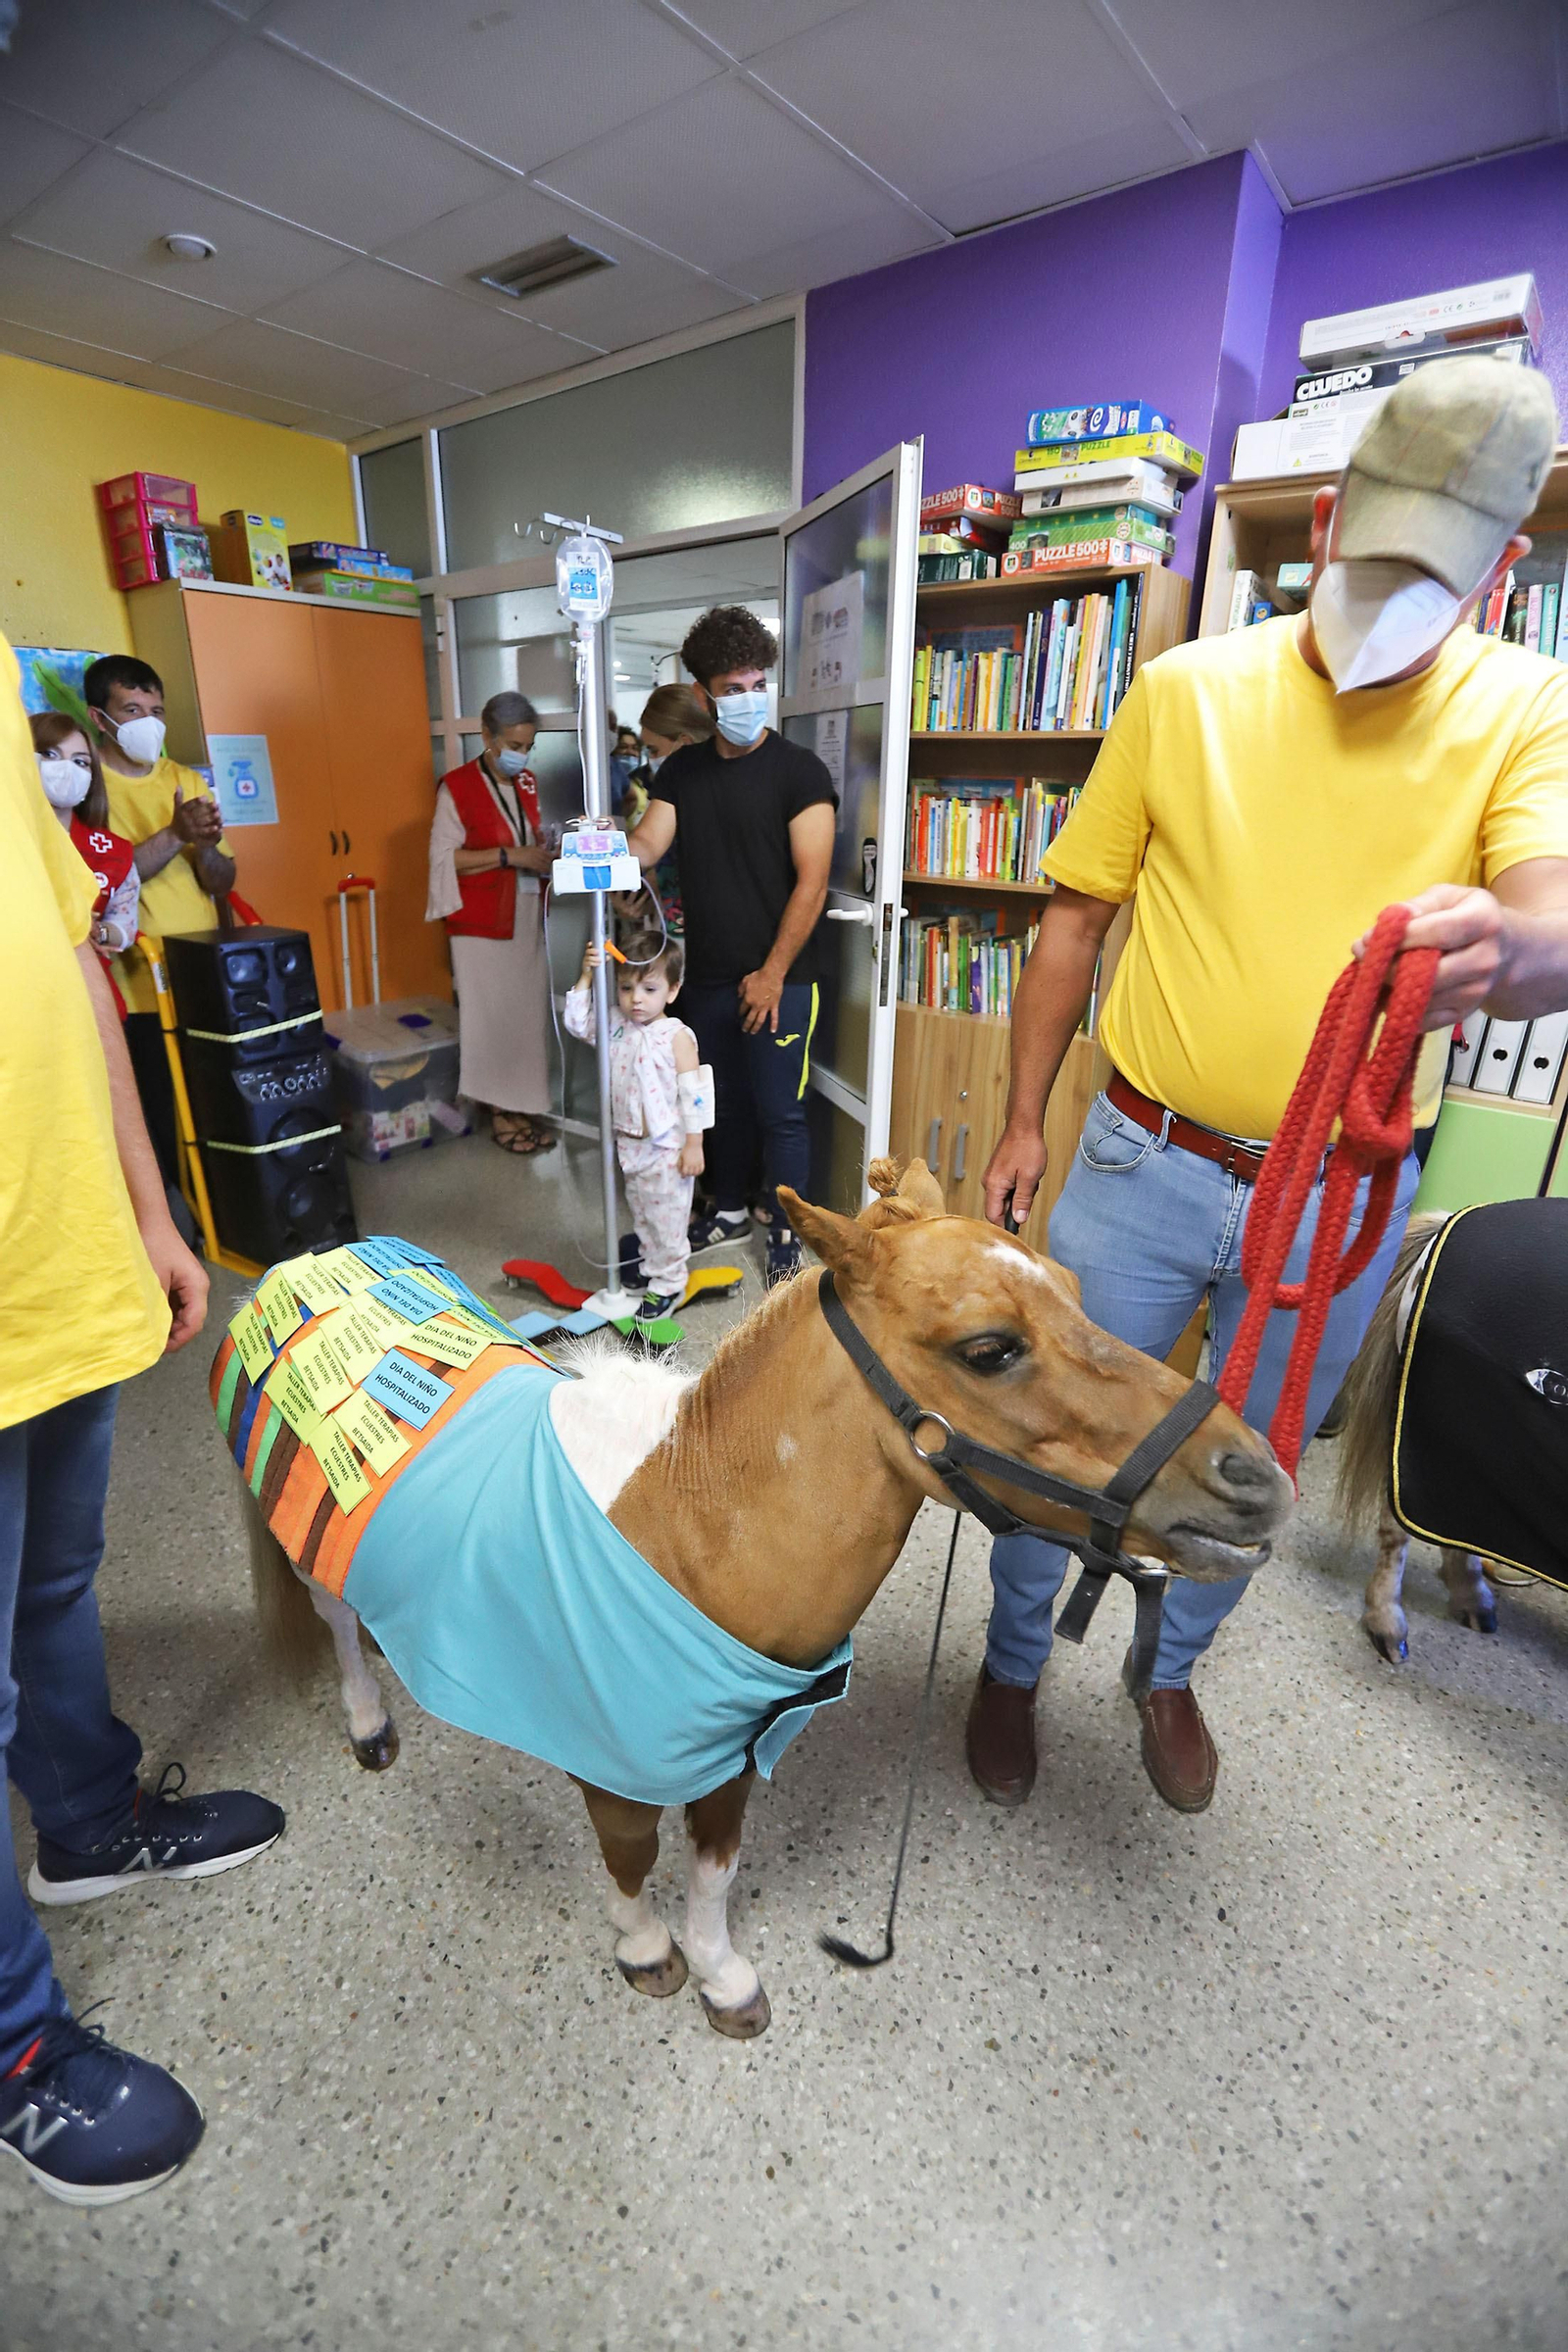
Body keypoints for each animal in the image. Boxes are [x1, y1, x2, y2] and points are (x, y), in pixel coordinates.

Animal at [235, 1159, 1292, 2038]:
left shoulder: (730, 1759)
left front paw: (720, 1975)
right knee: (335, 1626)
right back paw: (368, 1719)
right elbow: (631, 1863)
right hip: (314, 1559)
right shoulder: (614, 1771)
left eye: (1073, 1292)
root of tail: (298, 1264)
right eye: (989, 1348)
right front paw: (646, 1951)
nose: (1258, 1479)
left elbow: (714, 1871)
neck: (683, 1536)